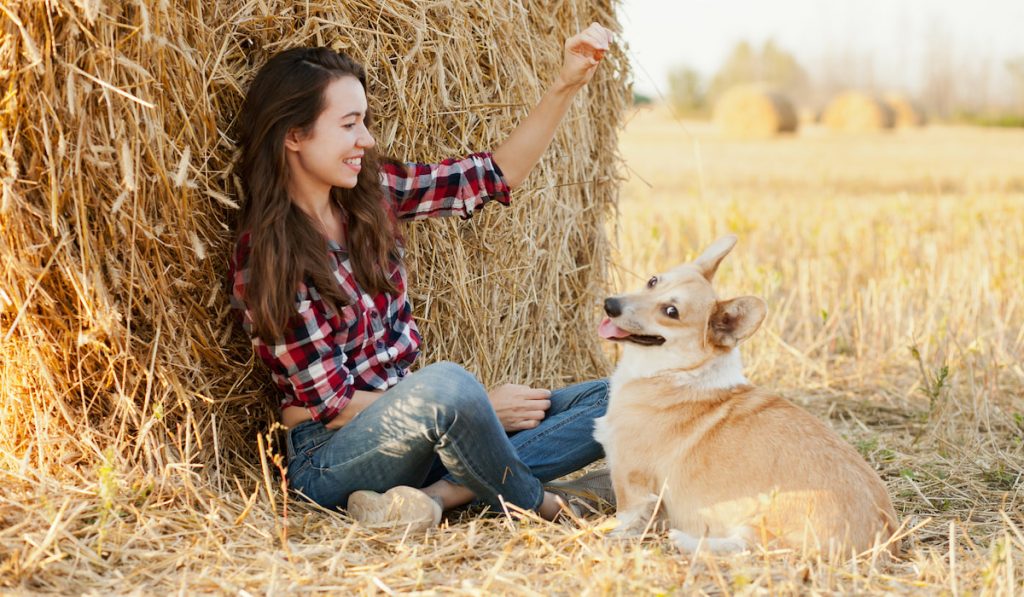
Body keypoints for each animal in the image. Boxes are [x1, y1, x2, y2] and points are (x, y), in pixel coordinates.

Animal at [593, 235, 897, 557]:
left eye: (671, 312)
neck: (676, 371)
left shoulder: (630, 480)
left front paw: (612, 538)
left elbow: (627, 518)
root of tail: (885, 538)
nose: (610, 305)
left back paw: (683, 540)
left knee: (748, 546)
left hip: (763, 519)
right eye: (652, 281)